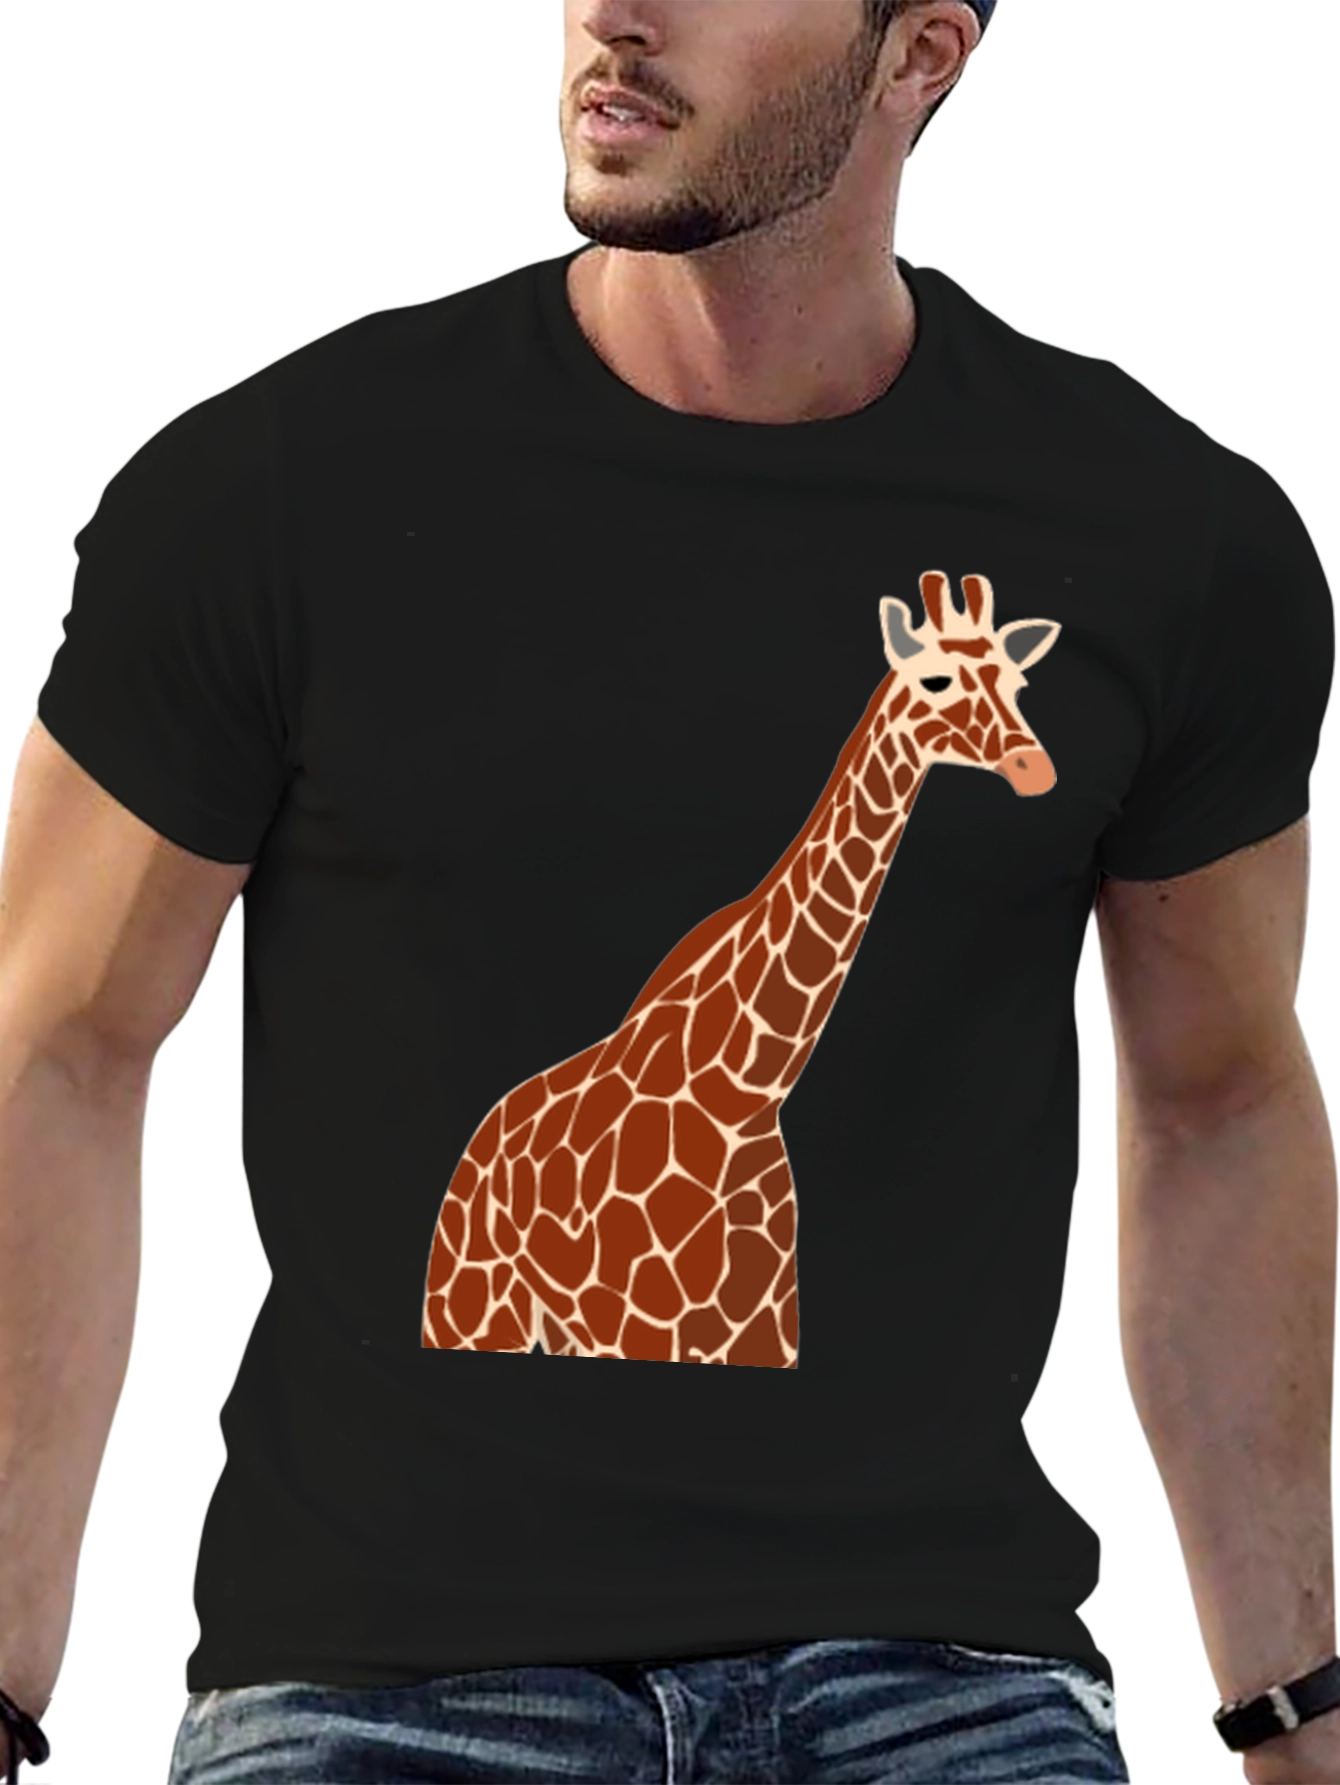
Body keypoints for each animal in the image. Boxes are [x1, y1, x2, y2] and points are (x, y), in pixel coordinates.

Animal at [422, 572, 1061, 1368]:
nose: (1035, 770)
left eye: (1018, 681)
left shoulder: (762, 1337)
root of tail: (477, 1143)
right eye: (935, 679)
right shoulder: (651, 1331)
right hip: (473, 1312)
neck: (743, 1096)